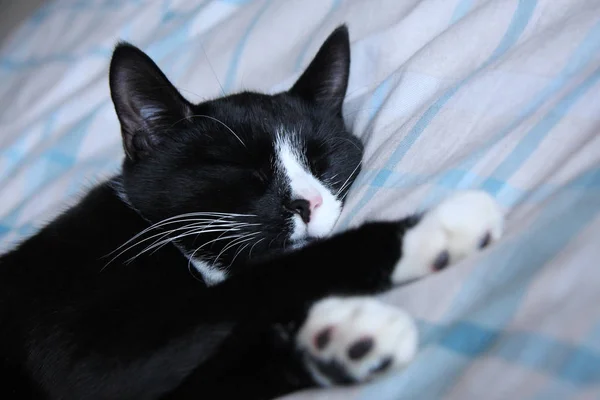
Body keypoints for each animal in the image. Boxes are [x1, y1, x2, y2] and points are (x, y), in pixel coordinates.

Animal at [0, 25, 504, 400]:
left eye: (322, 160)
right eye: (245, 169)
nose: (306, 202)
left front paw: (337, 345)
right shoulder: (89, 354)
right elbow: (265, 278)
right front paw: (435, 230)